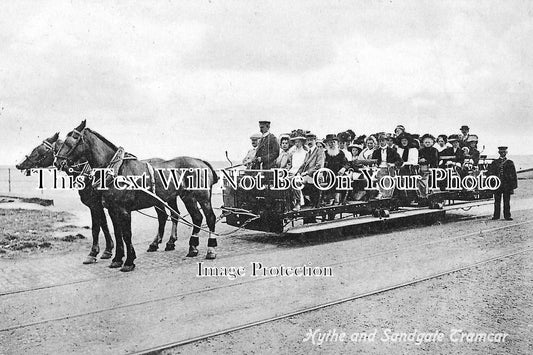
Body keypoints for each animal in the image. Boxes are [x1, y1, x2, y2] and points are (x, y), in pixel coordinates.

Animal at [55, 121, 219, 272]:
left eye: (71, 140)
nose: (58, 162)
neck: (117, 170)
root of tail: (201, 161)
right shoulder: (112, 209)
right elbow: (118, 233)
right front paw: (117, 259)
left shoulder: (122, 210)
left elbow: (126, 234)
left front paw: (128, 262)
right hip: (187, 197)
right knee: (196, 217)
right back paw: (192, 247)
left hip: (202, 197)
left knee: (209, 218)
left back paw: (210, 249)